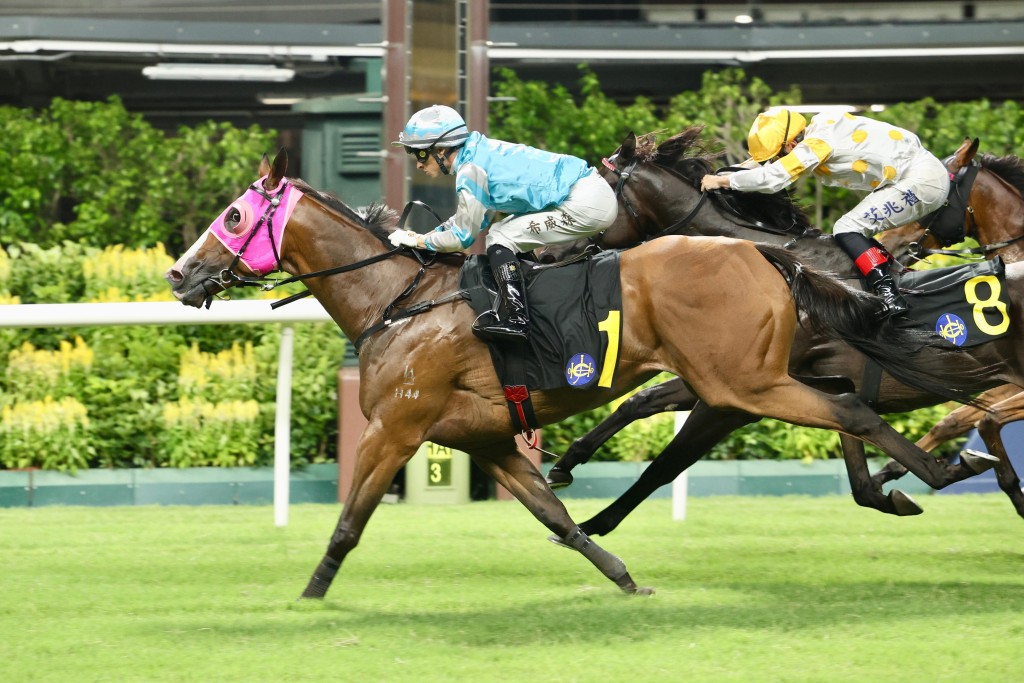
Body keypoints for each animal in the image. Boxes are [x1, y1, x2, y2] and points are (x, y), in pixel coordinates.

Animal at [169, 150, 999, 598]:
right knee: (852, 412)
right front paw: (626, 576)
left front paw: (308, 595)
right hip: (743, 381)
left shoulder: (396, 427)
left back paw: (944, 465)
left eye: (234, 217)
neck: (396, 306)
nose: (179, 273)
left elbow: (349, 521)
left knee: (856, 414)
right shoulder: (486, 439)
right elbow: (558, 521)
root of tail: (763, 252)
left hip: (740, 385)